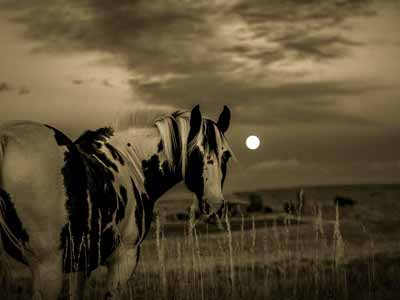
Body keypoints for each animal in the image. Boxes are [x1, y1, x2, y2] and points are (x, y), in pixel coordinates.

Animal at [0, 104, 234, 298]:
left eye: (226, 155)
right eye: (194, 153)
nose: (214, 207)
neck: (132, 162)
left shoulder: (81, 263)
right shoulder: (124, 258)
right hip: (48, 267)